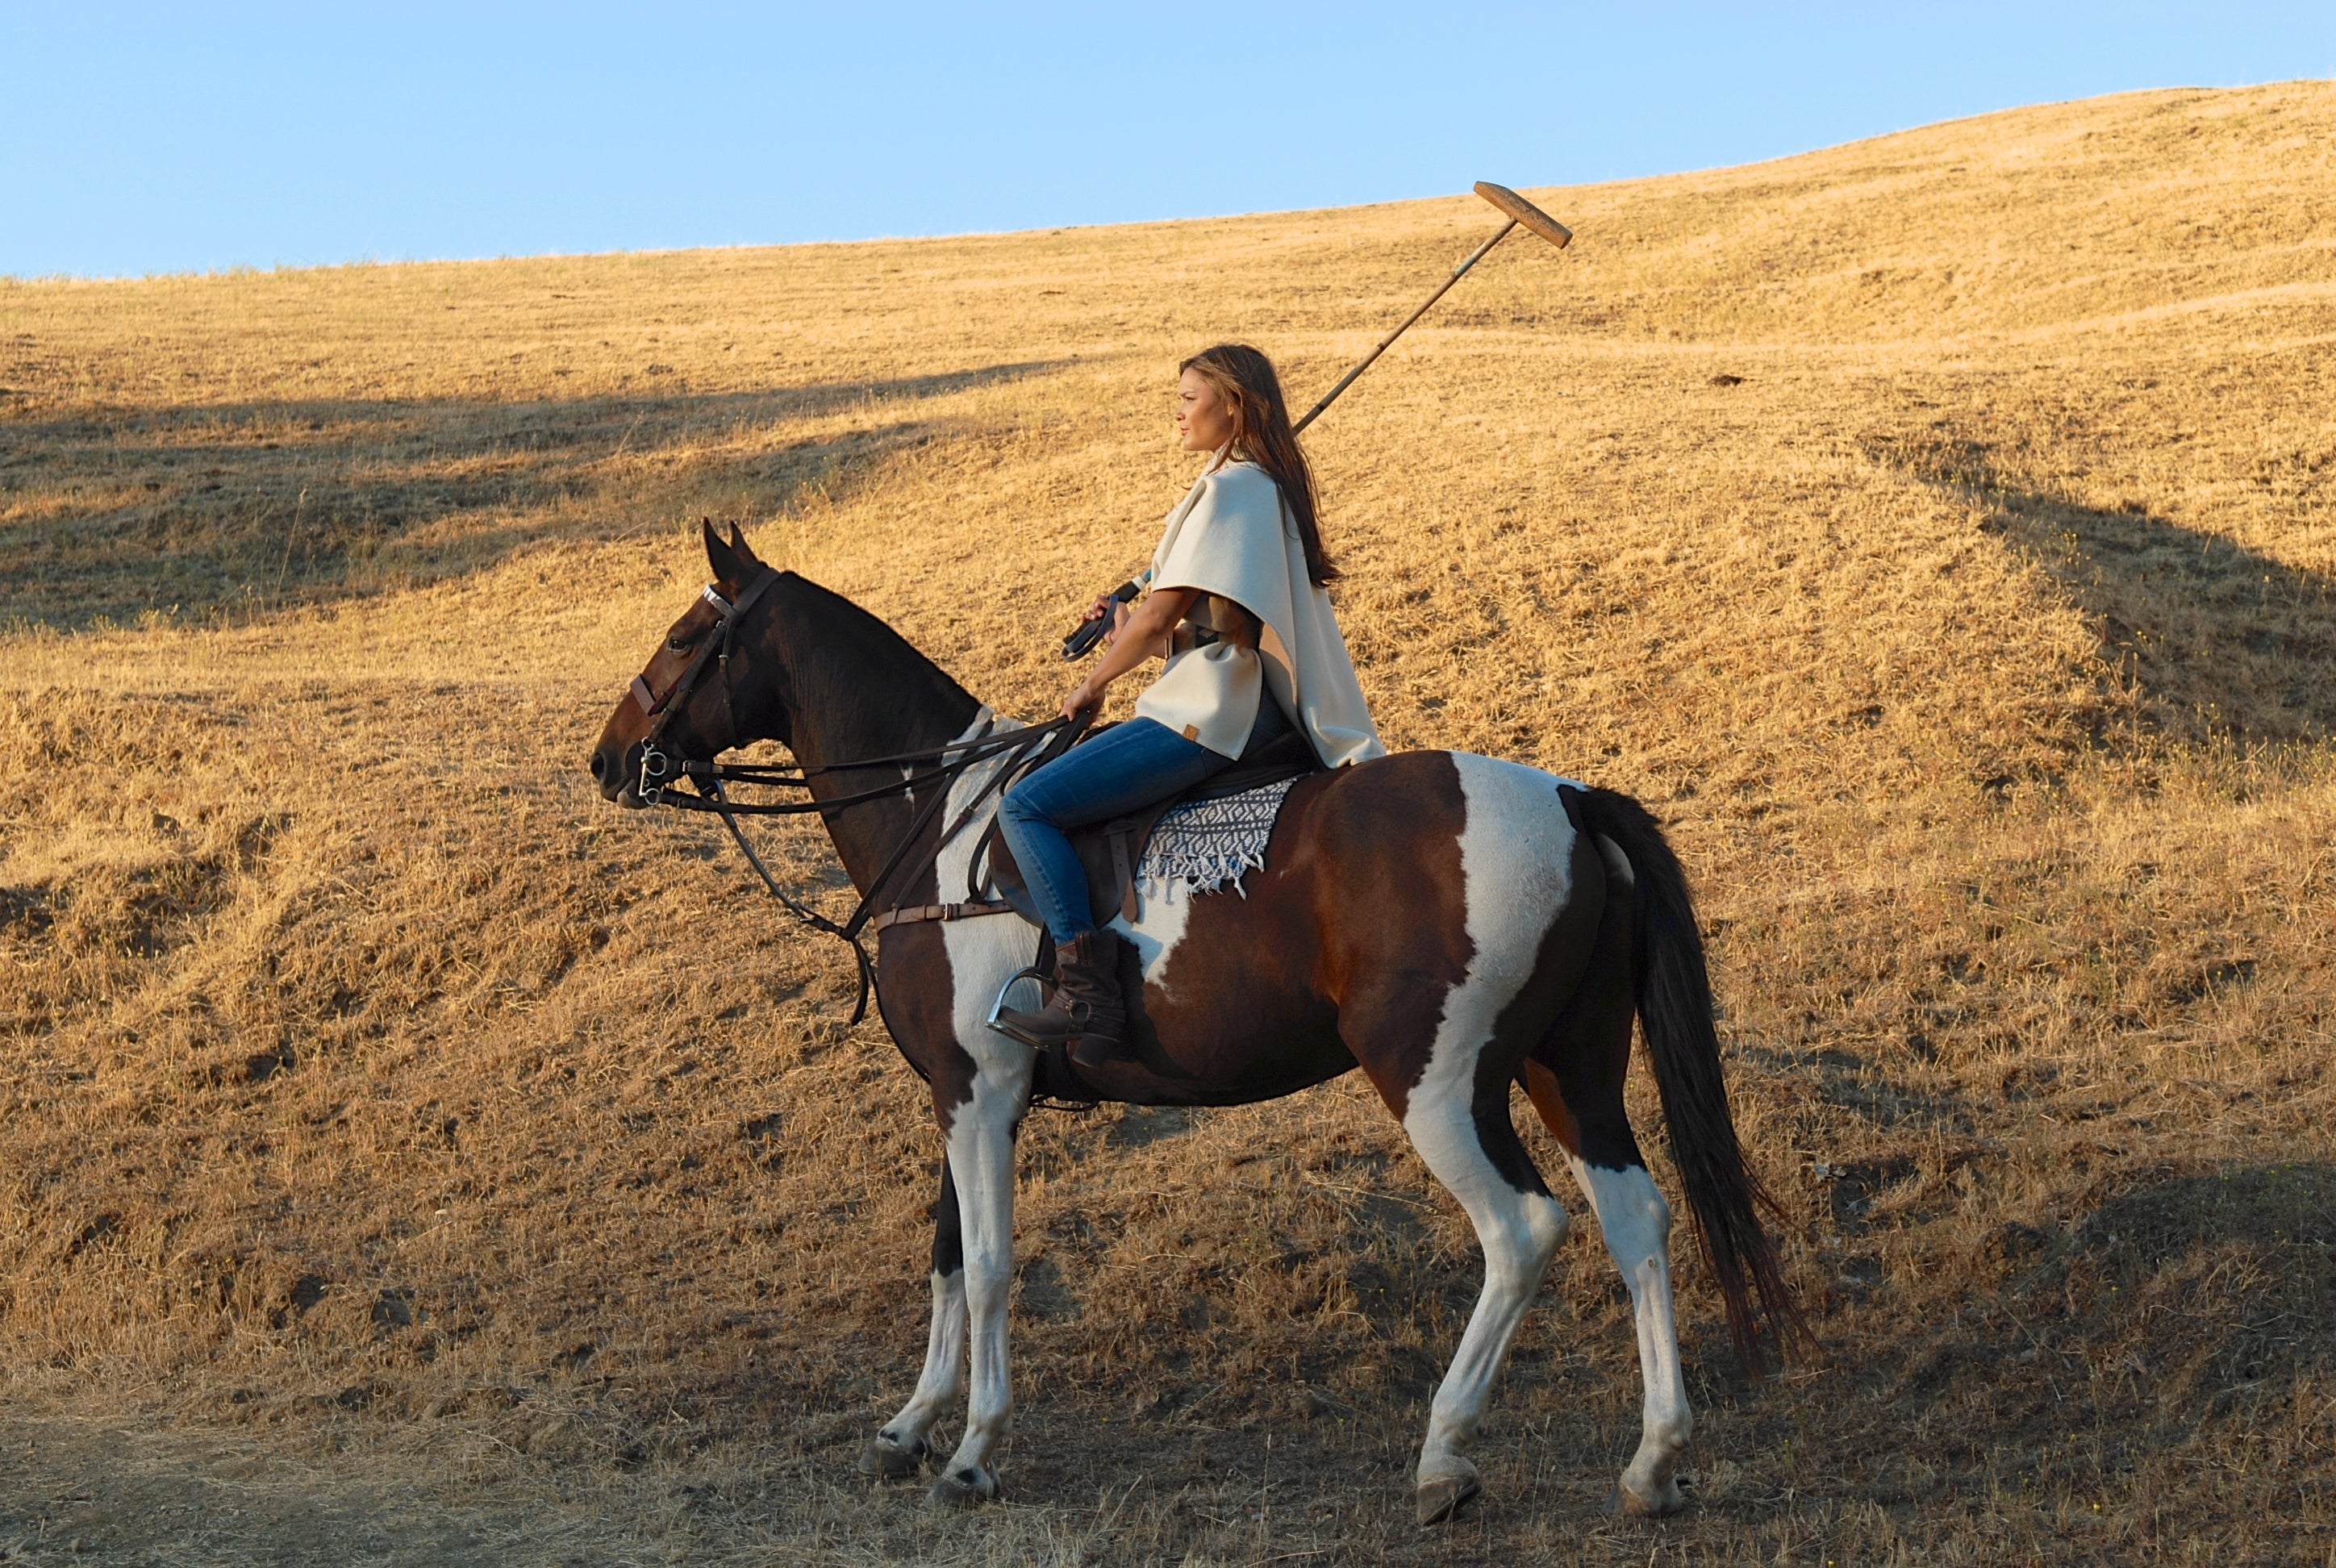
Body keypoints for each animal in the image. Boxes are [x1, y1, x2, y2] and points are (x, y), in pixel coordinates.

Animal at [589, 521, 1798, 1525]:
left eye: (687, 634)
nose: (609, 759)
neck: (939, 820)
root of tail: (1569, 800)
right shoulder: (959, 1087)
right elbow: (945, 1255)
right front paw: (908, 1425)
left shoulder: (981, 1092)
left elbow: (987, 1264)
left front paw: (973, 1452)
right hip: (1570, 1070)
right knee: (1637, 1221)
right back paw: (1654, 1462)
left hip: (1438, 1084)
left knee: (1523, 1230)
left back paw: (1445, 1456)